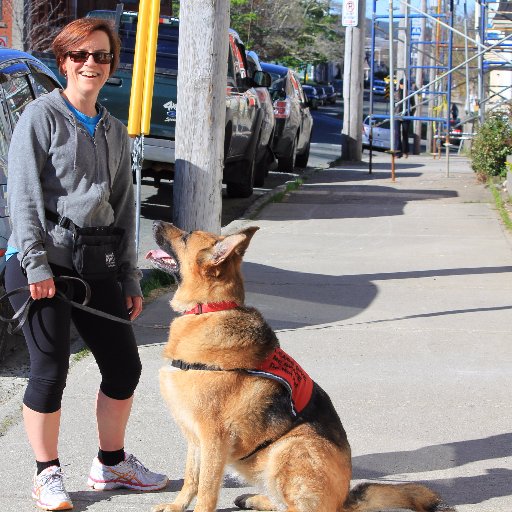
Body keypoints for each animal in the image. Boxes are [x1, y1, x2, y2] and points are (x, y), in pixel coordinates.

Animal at [146, 221, 454, 512]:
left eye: (186, 236)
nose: (154, 223)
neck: (210, 309)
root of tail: (345, 501)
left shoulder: (213, 439)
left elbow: (207, 489)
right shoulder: (194, 437)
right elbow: (191, 478)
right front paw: (177, 506)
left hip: (291, 446)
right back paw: (254, 499)